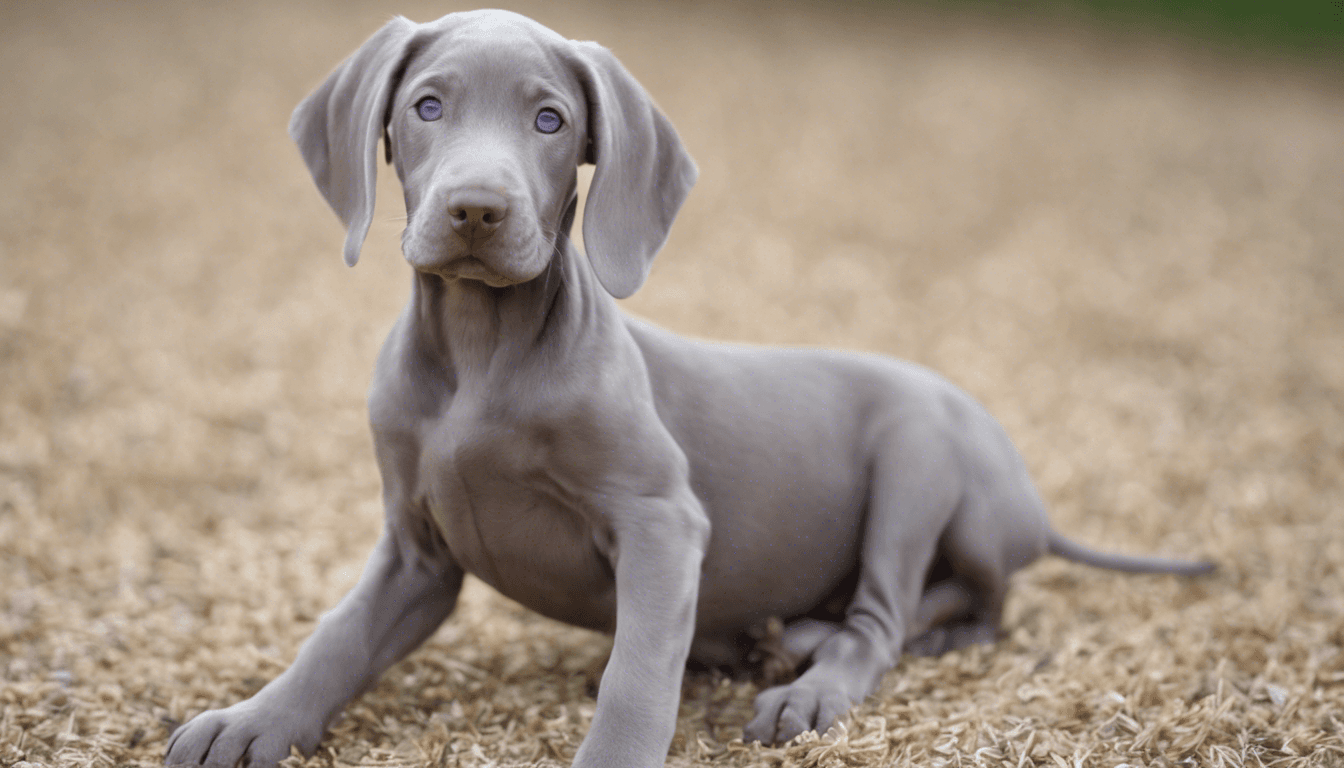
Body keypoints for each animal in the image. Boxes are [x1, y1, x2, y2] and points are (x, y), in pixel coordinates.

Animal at [162, 12, 1214, 768]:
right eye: (426, 106)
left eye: (550, 121)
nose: (476, 209)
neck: (479, 355)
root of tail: (1032, 502)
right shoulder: (416, 552)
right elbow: (335, 638)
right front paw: (254, 719)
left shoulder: (663, 522)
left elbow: (635, 676)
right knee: (949, 603)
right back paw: (785, 639)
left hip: (918, 457)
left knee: (896, 616)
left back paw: (809, 680)